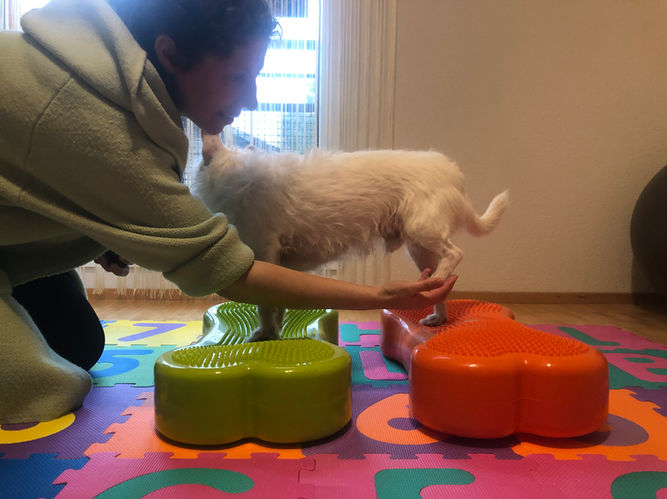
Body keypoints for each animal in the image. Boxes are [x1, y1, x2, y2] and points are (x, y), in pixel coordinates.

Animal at [192, 133, 509, 341]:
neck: (236, 176)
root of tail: (453, 175)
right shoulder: (277, 264)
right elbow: (276, 302)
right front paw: (273, 331)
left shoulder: (266, 252)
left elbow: (265, 305)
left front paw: (265, 333)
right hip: (420, 248)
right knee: (440, 283)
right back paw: (437, 312)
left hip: (423, 229)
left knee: (455, 254)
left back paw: (441, 278)